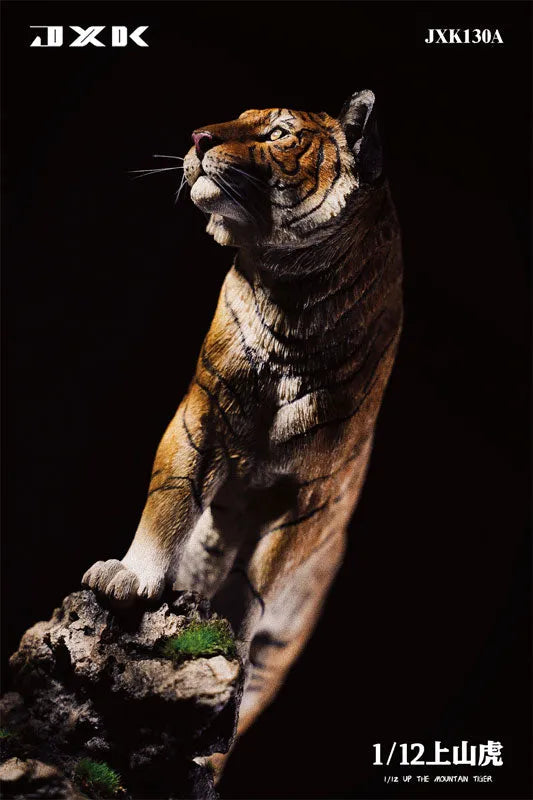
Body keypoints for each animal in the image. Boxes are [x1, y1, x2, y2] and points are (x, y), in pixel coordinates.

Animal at [82, 90, 403, 775]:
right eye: (239, 117)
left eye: (279, 134)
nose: (198, 137)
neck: (293, 294)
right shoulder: (199, 417)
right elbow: (170, 502)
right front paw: (129, 578)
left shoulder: (306, 493)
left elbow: (262, 574)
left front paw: (229, 635)